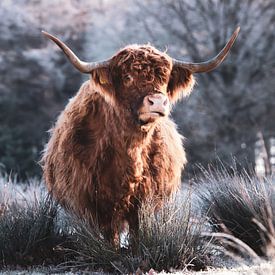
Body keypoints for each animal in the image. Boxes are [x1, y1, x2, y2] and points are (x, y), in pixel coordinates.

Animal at [40, 28, 239, 247]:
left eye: (165, 79)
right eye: (127, 77)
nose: (158, 101)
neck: (130, 151)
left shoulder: (145, 202)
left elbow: (138, 235)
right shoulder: (94, 203)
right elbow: (110, 238)